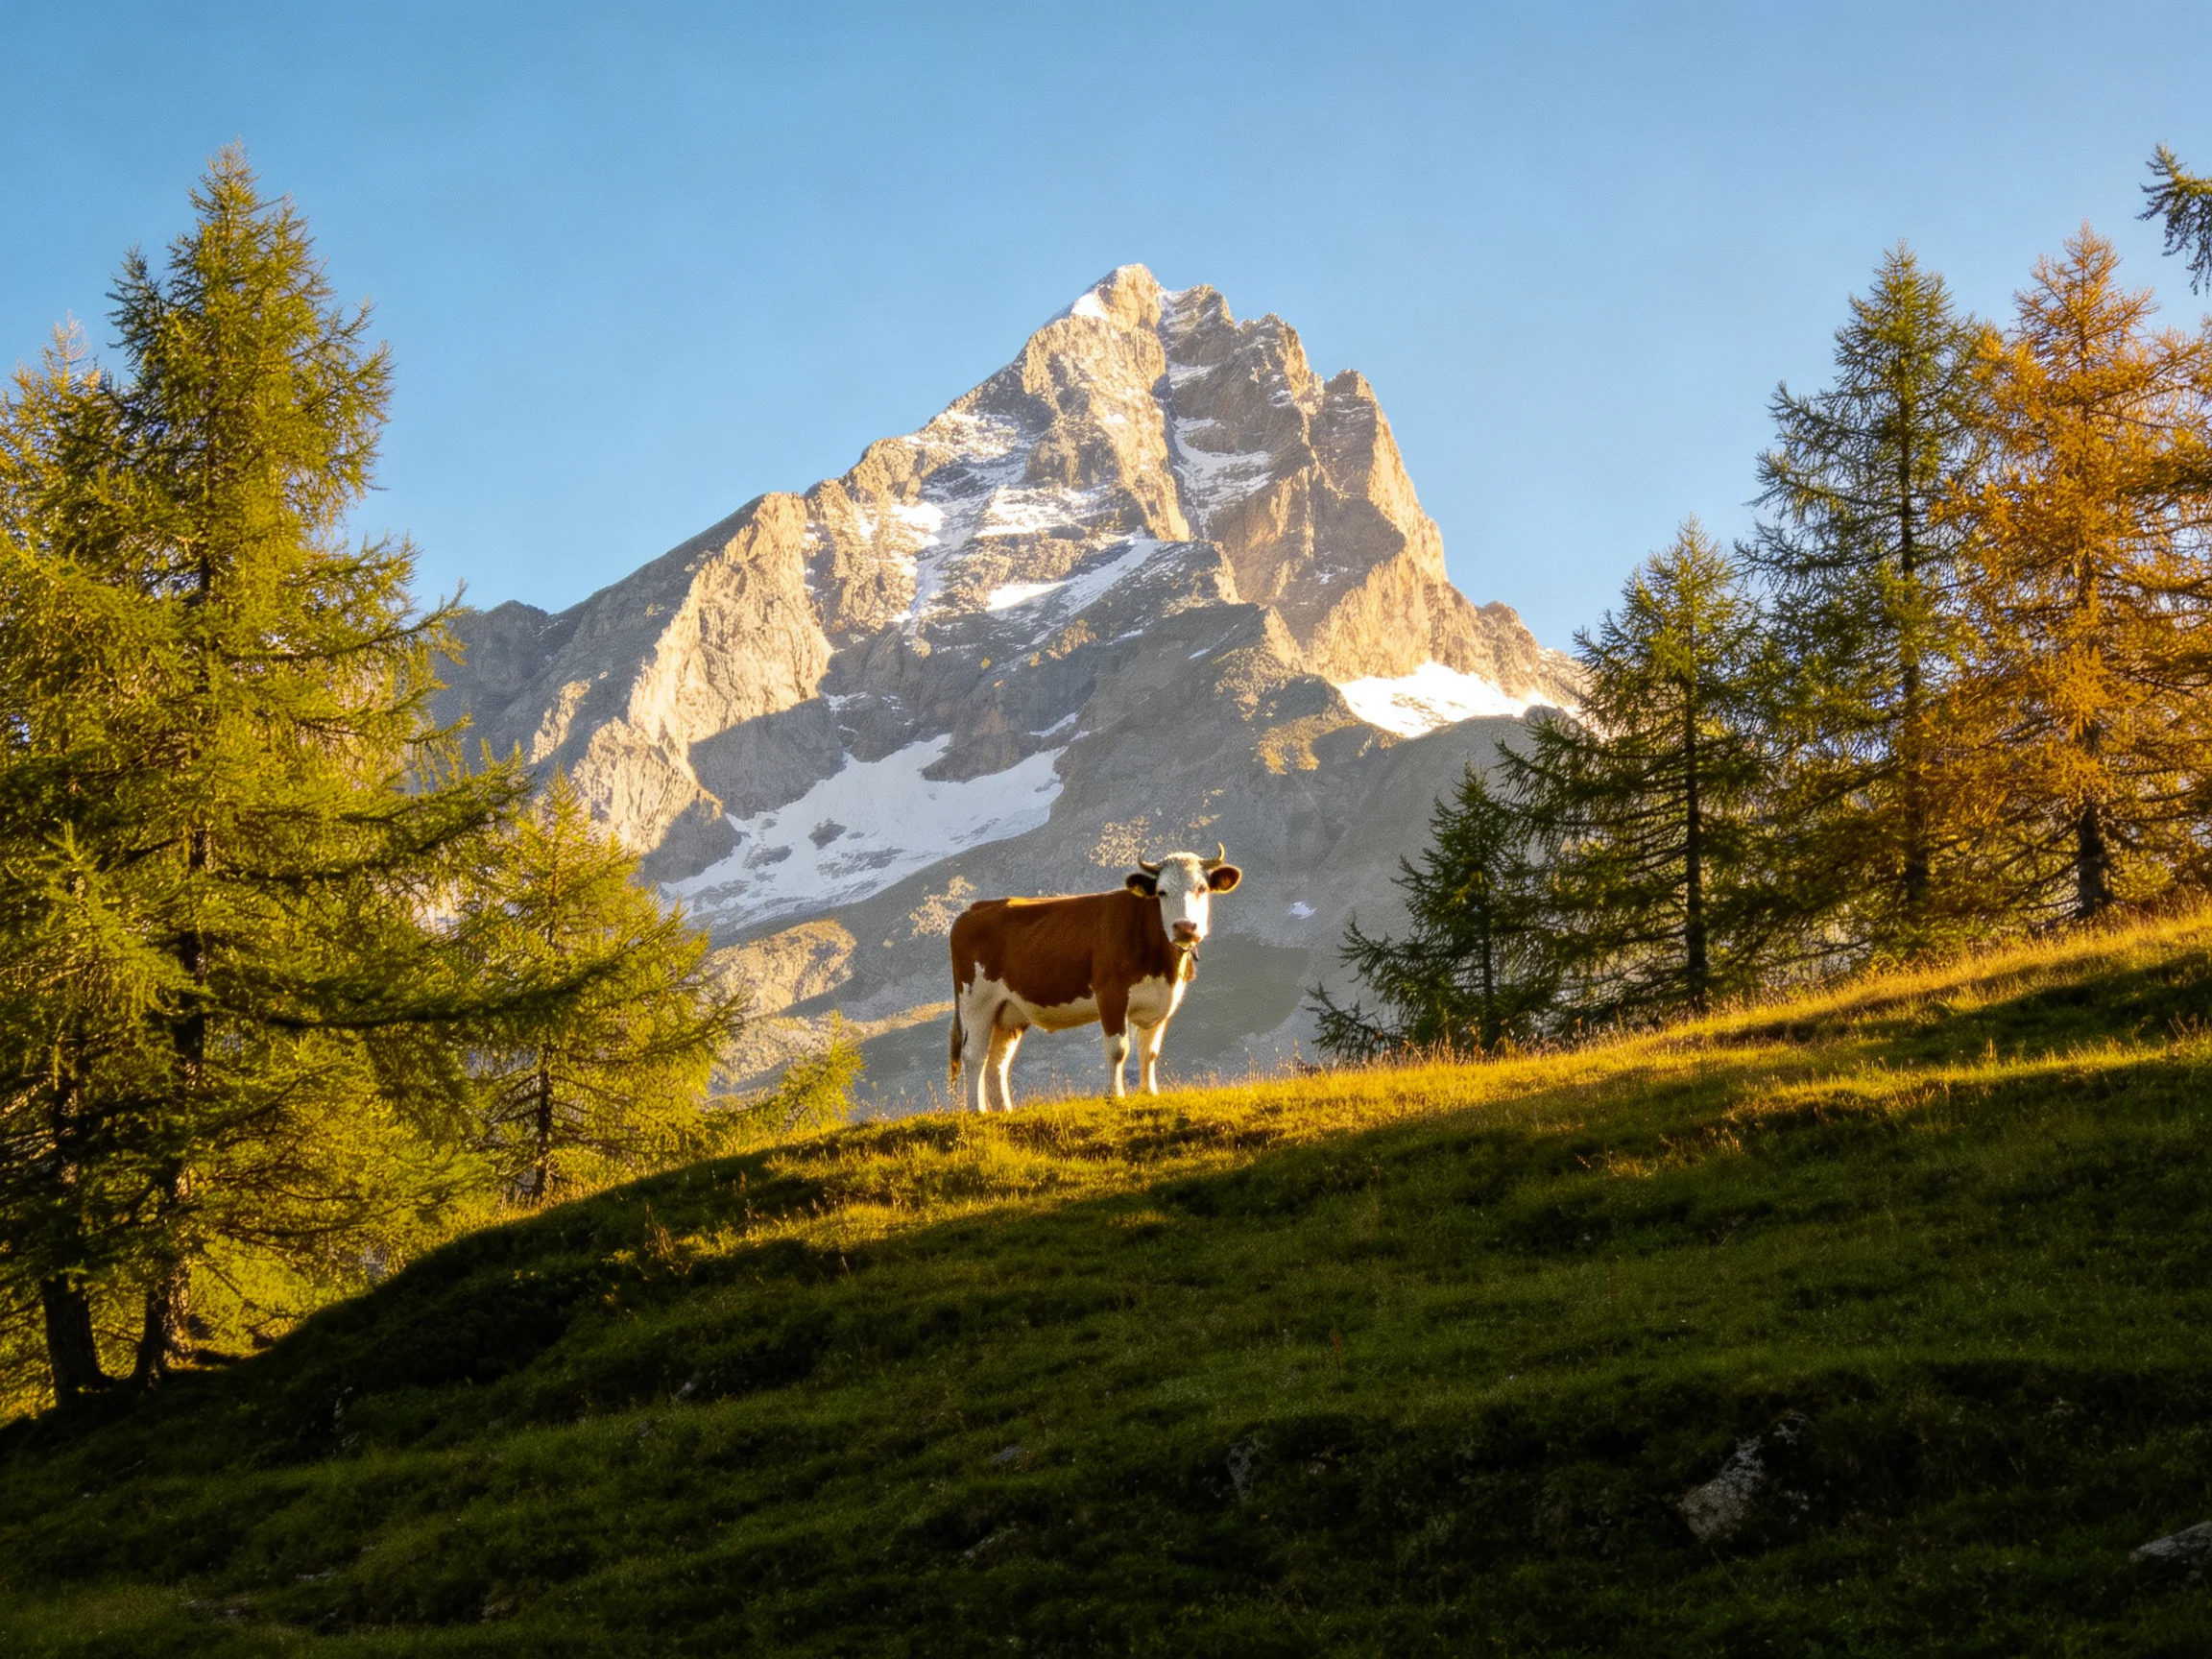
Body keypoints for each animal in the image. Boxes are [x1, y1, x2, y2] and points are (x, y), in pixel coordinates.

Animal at [947, 845, 1244, 1112]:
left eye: (1201, 889)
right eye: (1162, 892)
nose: (1185, 927)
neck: (1163, 965)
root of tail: (973, 909)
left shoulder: (1163, 1001)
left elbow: (1150, 1051)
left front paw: (1150, 1093)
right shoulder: (1110, 992)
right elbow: (1118, 1048)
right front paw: (1115, 1095)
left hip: (1009, 1011)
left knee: (998, 1061)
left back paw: (1005, 1111)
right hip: (976, 1001)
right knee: (974, 1055)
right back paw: (977, 1110)